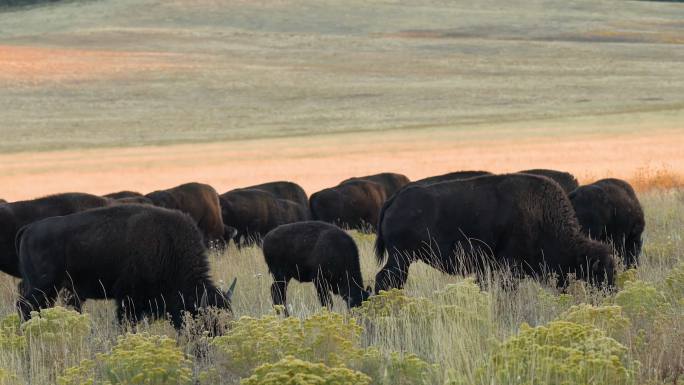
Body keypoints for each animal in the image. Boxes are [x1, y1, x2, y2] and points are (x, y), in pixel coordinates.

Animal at [16, 204, 235, 328]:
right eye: (202, 316)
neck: (167, 245)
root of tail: (29, 228)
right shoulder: (128, 299)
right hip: (42, 286)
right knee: (24, 307)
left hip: (49, 290)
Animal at [374, 172, 616, 292]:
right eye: (600, 272)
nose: (610, 293)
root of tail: (395, 199)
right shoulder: (509, 267)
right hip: (401, 259)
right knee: (386, 279)